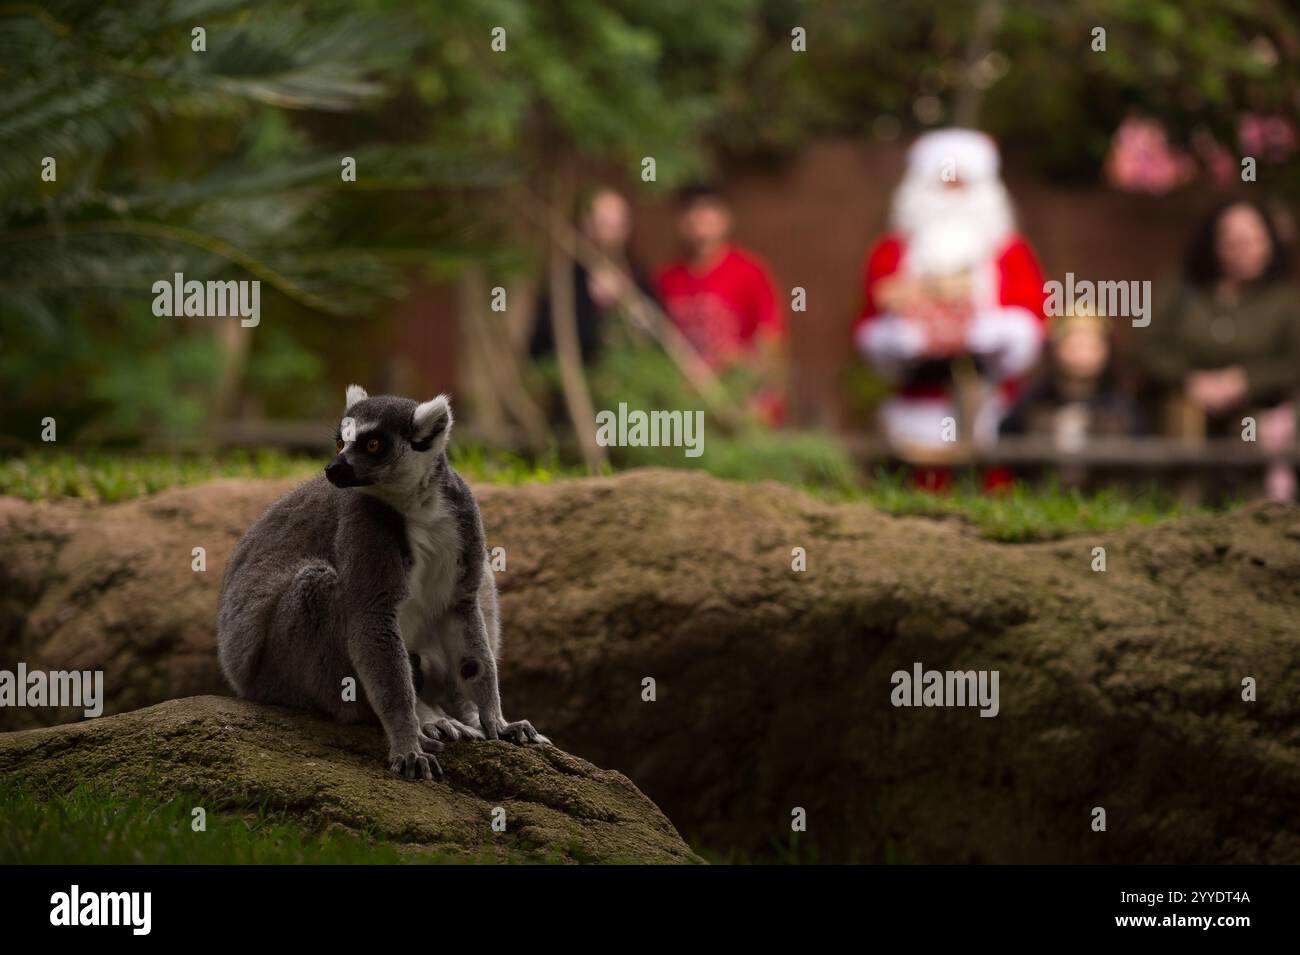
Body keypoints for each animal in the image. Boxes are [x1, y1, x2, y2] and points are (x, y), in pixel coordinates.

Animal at [217, 385, 547, 780]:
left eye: (373, 444)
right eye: (340, 442)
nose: (332, 469)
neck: (416, 504)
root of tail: (239, 680)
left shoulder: (462, 514)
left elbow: (464, 613)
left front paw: (495, 720)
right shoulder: (363, 524)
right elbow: (371, 617)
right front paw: (407, 740)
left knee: (480, 583)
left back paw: (454, 709)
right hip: (277, 675)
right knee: (320, 584)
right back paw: (414, 714)